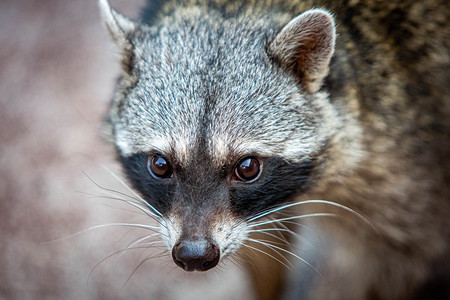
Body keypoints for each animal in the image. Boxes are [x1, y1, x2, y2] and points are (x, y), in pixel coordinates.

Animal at [98, 0, 450, 298]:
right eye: (160, 165)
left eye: (248, 167)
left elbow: (401, 262)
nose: (194, 256)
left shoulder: (404, 163)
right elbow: (263, 249)